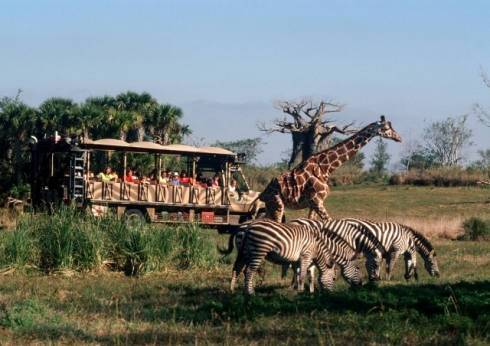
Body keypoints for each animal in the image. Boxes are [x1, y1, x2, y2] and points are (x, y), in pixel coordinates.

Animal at [219, 219, 360, 294]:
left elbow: (300, 274)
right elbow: (304, 275)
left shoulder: (298, 260)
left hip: (244, 253)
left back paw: (233, 290)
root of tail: (248, 225)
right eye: (334, 278)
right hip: (257, 251)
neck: (318, 244)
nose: (360, 285)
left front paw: (299, 290)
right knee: (248, 271)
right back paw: (250, 293)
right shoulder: (306, 256)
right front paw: (304, 292)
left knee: (237, 269)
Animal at [258, 115, 400, 223]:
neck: (326, 168)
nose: (399, 138)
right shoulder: (317, 201)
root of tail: (264, 192)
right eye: (386, 128)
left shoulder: (314, 204)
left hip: (270, 206)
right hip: (277, 204)